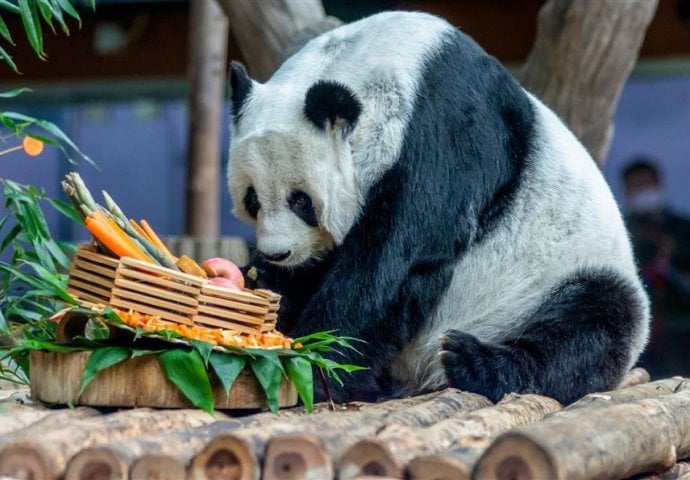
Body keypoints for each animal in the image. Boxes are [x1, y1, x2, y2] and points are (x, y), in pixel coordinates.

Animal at [224, 9, 644, 404]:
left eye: (301, 200)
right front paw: (262, 283)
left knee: (592, 323)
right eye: (252, 200)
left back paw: (473, 362)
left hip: (553, 280)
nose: (278, 254)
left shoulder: (447, 130)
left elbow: (399, 260)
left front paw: (320, 361)